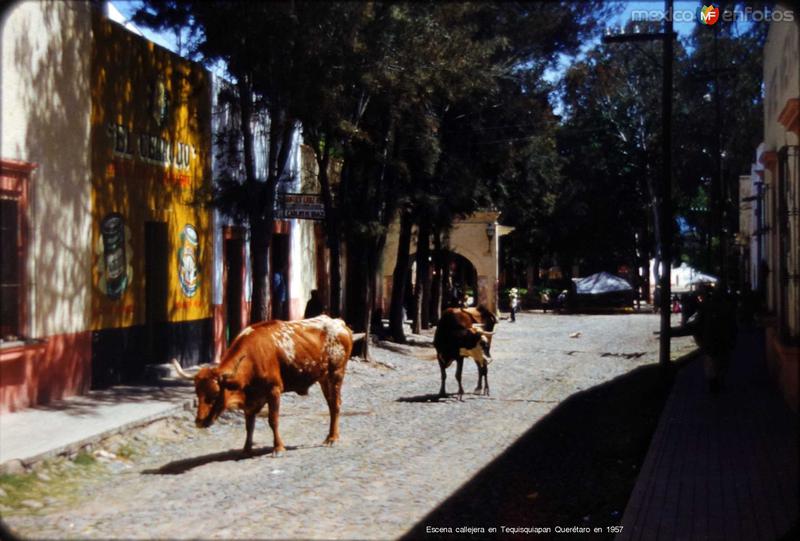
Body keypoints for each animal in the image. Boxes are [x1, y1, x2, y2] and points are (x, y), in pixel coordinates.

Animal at [173, 312, 352, 456]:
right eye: (197, 393)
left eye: (215, 393)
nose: (199, 421)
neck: (252, 357)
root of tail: (339, 324)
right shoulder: (252, 399)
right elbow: (249, 424)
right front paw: (246, 449)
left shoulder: (274, 390)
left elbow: (273, 420)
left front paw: (278, 448)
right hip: (323, 378)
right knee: (331, 405)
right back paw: (330, 436)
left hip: (336, 374)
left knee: (335, 405)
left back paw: (333, 438)